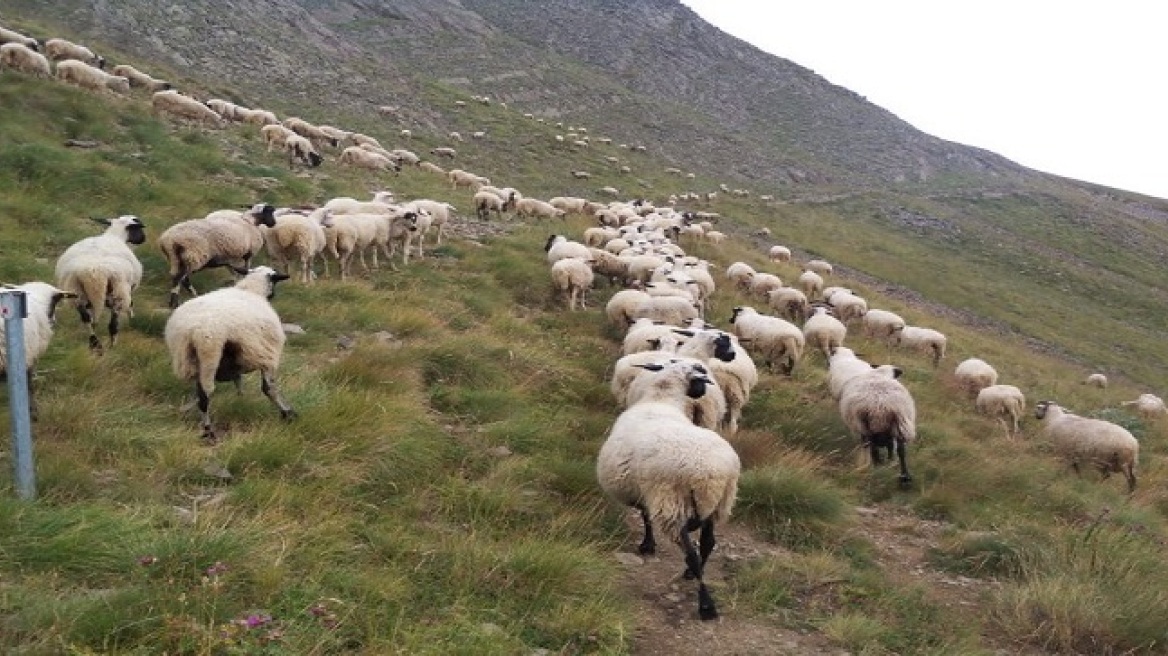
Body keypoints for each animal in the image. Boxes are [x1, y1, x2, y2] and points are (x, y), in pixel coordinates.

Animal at [54, 214, 147, 350]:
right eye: (139, 227)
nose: (143, 239)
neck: (115, 235)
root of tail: (94, 272)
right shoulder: (128, 288)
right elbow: (131, 304)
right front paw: (132, 316)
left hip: (77, 291)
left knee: (87, 319)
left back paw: (94, 343)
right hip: (117, 292)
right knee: (113, 325)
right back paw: (112, 345)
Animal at [164, 263, 296, 438]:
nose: (273, 295)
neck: (251, 290)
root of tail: (193, 330)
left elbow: (238, 379)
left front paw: (240, 397)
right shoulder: (266, 354)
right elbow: (269, 388)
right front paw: (287, 413)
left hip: (185, 355)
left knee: (200, 390)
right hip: (210, 352)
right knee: (205, 393)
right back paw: (208, 429)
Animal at [598, 357, 742, 616]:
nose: (705, 387)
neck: (661, 399)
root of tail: (709, 474)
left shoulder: (646, 490)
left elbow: (645, 516)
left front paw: (647, 545)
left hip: (671, 503)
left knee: (691, 551)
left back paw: (706, 604)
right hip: (718, 504)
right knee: (708, 543)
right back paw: (690, 573)